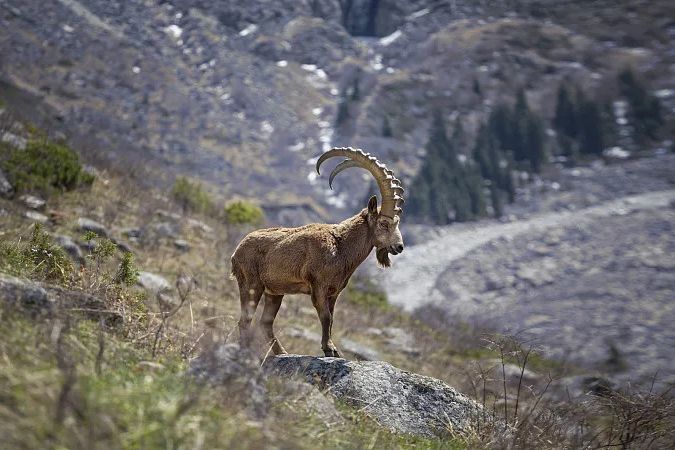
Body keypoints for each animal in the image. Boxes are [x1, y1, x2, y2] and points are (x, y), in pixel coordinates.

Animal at [230, 149, 404, 356]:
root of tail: (237, 251)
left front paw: (332, 349)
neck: (340, 245)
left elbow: (331, 319)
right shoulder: (319, 287)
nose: (399, 247)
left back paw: (282, 353)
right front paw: (329, 349)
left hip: (274, 293)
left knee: (265, 323)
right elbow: (326, 317)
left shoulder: (334, 293)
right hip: (251, 284)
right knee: (245, 320)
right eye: (384, 223)